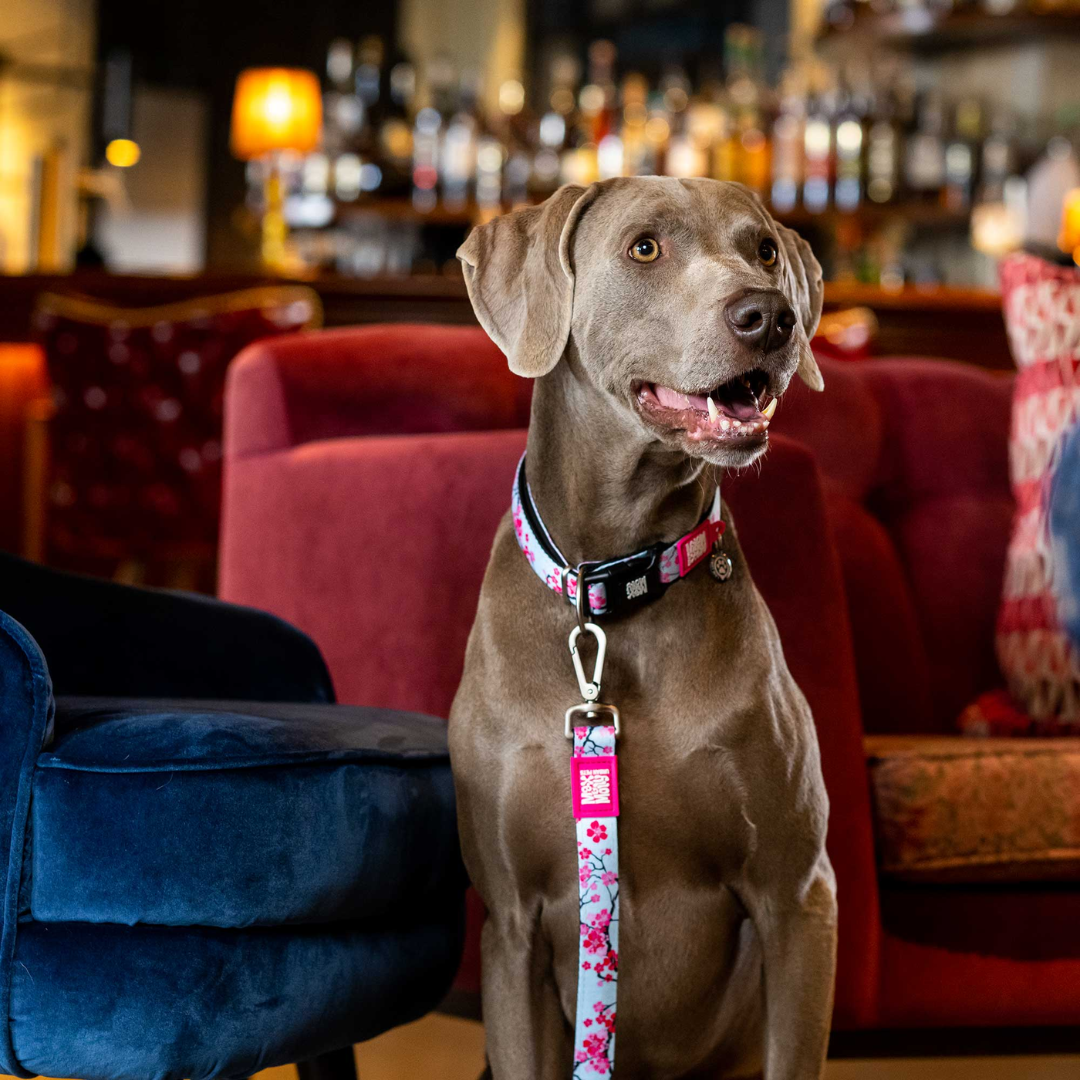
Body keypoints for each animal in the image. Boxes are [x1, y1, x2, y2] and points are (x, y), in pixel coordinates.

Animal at [447, 179, 833, 1080]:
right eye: (645, 248)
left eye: (765, 249)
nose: (770, 316)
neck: (612, 587)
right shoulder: (510, 928)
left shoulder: (799, 896)